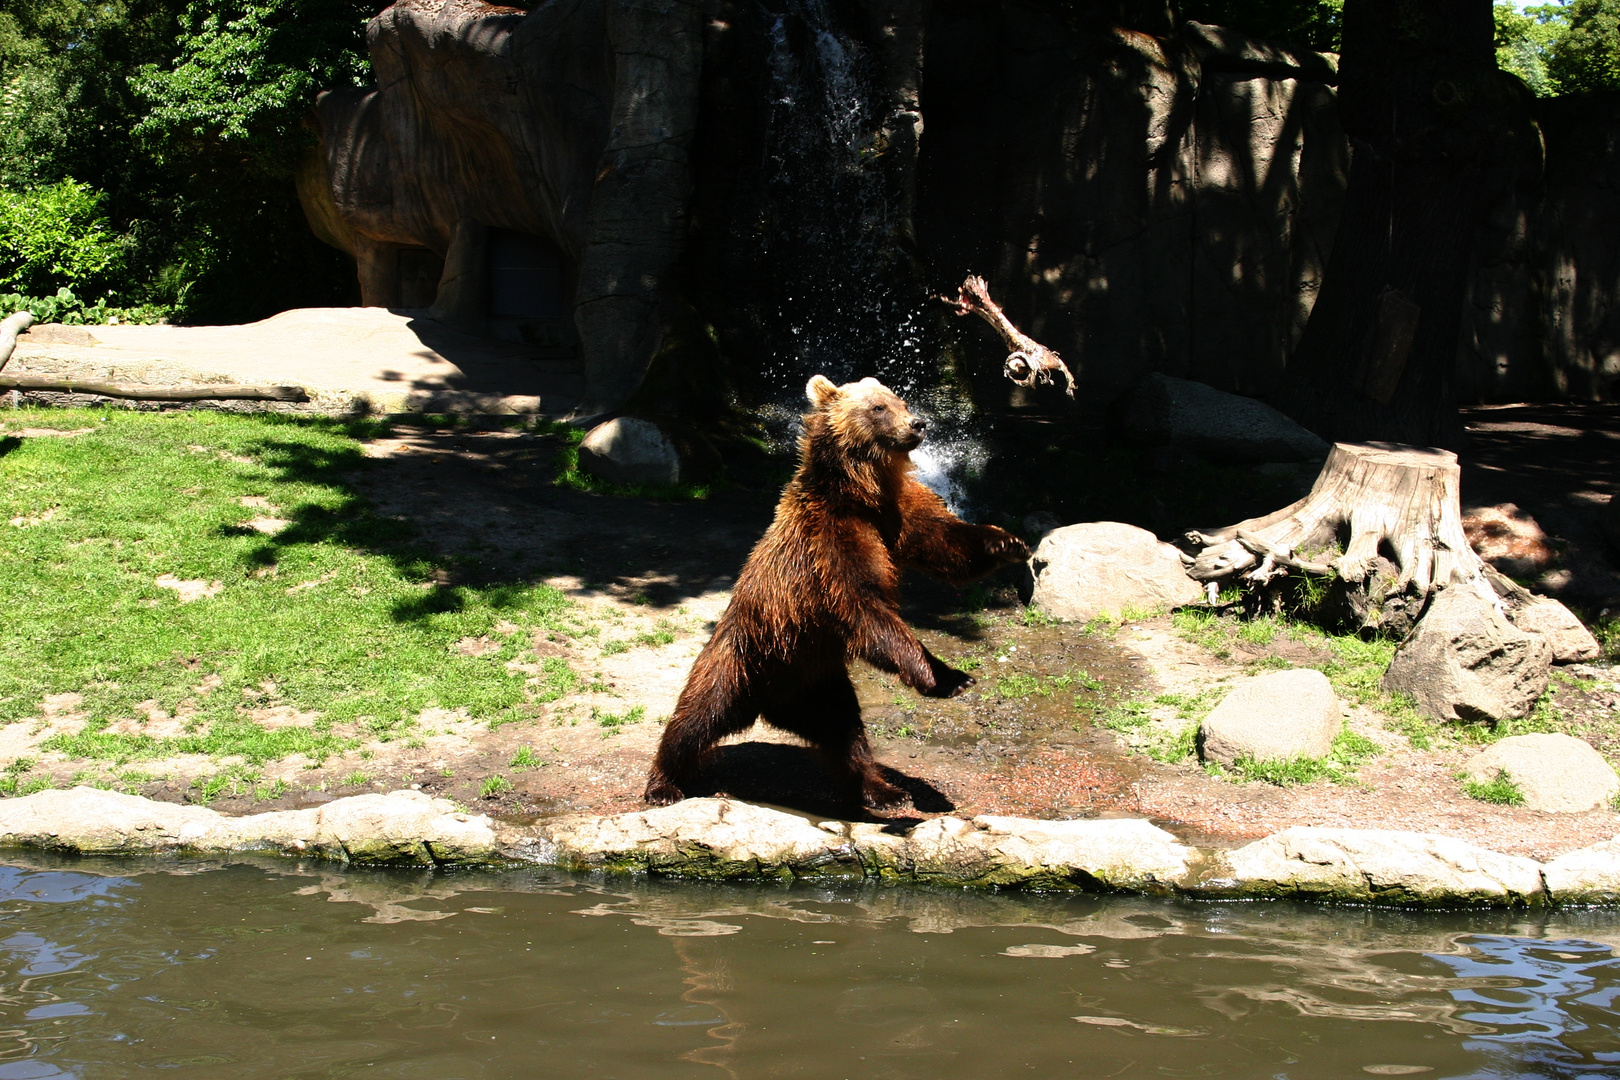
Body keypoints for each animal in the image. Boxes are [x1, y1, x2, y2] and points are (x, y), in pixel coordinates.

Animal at [641, 375, 1030, 806]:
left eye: (900, 399)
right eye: (878, 407)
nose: (918, 424)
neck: (859, 491)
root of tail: (771, 704)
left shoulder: (897, 514)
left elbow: (943, 544)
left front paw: (1008, 543)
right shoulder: (828, 544)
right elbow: (864, 608)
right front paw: (943, 676)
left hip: (818, 677)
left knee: (846, 734)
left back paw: (883, 790)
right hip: (742, 659)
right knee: (695, 719)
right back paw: (663, 784)